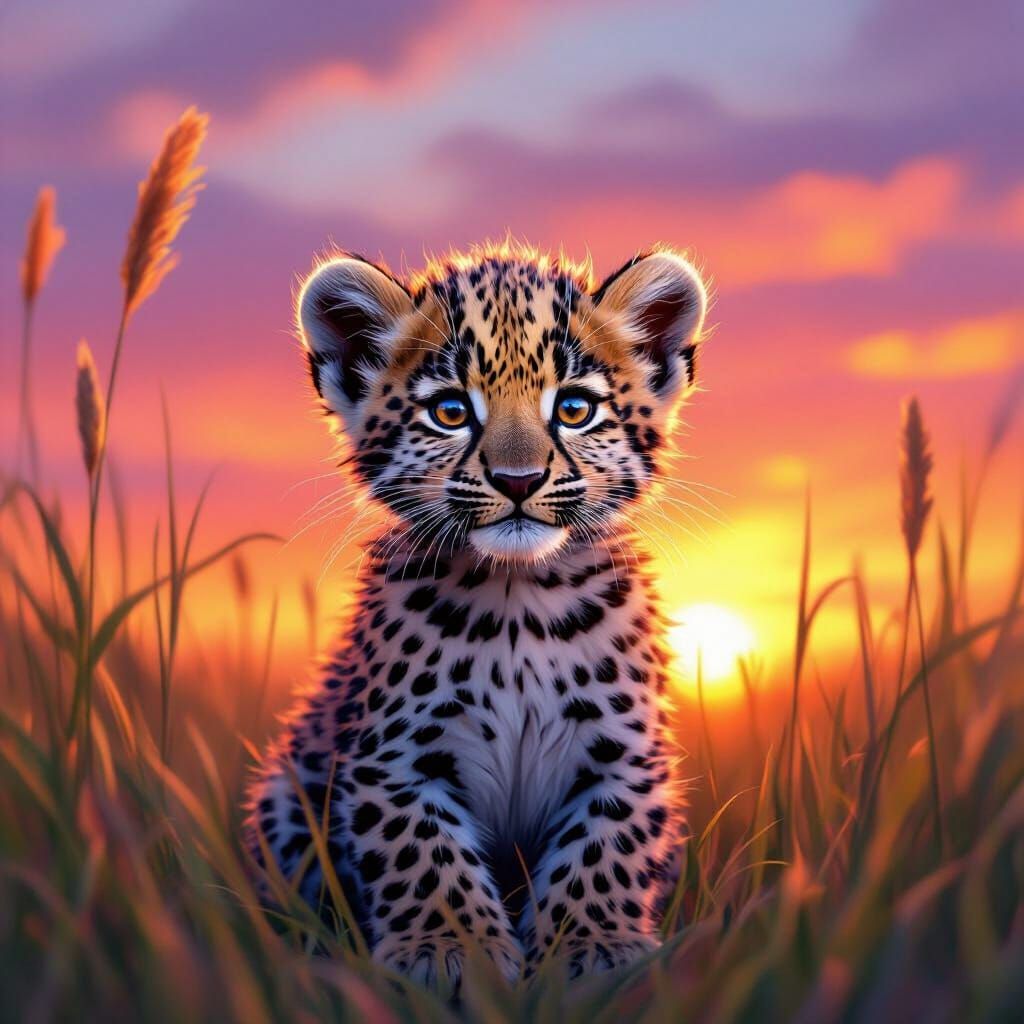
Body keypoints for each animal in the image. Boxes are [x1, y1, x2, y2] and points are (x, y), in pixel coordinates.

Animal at [245, 239, 708, 987]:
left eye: (574, 409)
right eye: (451, 412)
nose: (519, 481)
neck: (519, 600)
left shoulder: (623, 754)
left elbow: (603, 850)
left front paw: (591, 948)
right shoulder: (396, 758)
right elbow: (423, 855)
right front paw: (449, 952)